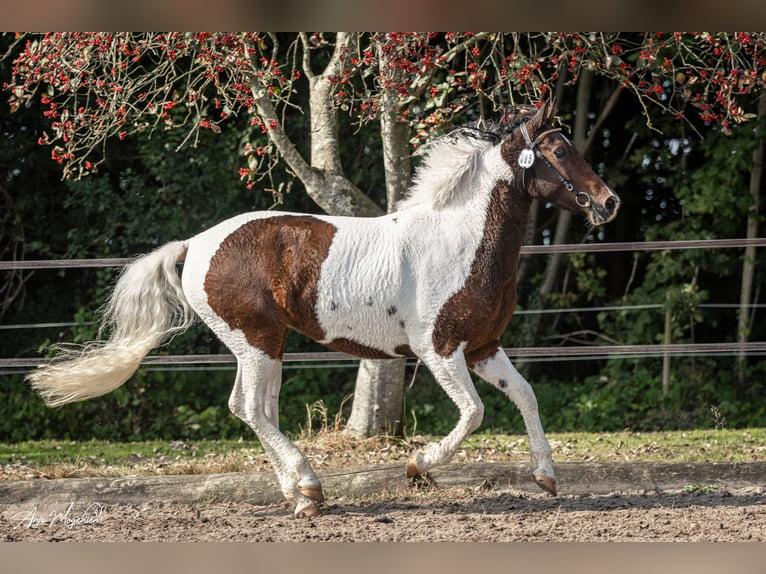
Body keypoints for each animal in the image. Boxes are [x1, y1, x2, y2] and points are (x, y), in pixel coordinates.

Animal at [28, 101, 624, 520]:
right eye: (559, 150)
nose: (609, 202)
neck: (459, 239)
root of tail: (195, 244)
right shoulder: (439, 351)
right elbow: (474, 413)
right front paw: (418, 465)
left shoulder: (482, 347)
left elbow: (525, 395)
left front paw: (546, 477)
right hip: (256, 339)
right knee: (250, 408)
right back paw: (308, 489)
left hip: (266, 345)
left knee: (256, 409)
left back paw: (303, 494)